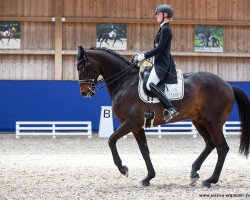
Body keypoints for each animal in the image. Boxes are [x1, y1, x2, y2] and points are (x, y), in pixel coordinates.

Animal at [76, 45, 250, 188]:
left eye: (83, 66)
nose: (84, 92)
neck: (125, 82)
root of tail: (228, 85)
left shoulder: (130, 123)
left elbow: (111, 140)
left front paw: (123, 169)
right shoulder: (137, 127)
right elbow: (144, 150)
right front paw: (148, 178)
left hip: (213, 122)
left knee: (222, 148)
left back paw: (210, 180)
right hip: (199, 120)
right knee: (210, 144)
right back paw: (194, 173)